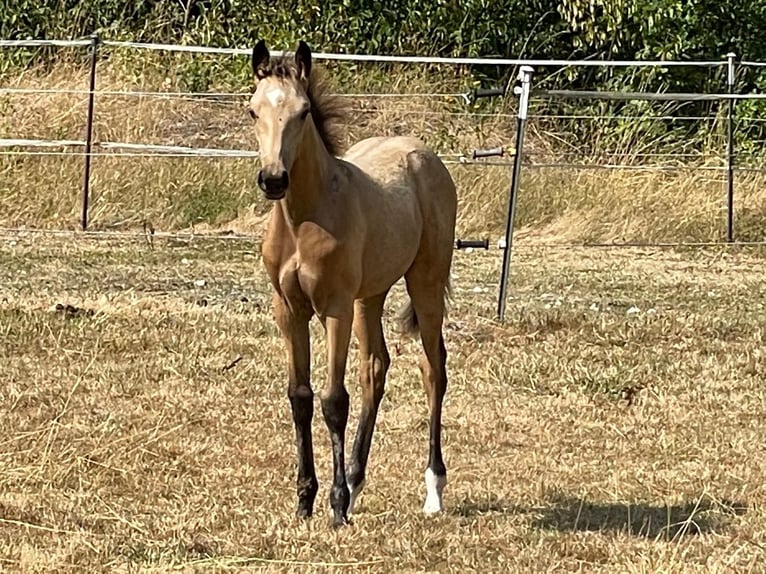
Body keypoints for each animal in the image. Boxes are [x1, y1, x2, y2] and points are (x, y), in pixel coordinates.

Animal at [248, 39, 457, 527]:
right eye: (253, 111)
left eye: (303, 111)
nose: (273, 180)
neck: (304, 220)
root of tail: (422, 152)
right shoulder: (289, 310)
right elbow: (300, 396)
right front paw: (305, 499)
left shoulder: (335, 308)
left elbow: (332, 400)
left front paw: (336, 506)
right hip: (371, 295)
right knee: (376, 368)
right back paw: (358, 481)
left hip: (425, 280)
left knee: (433, 368)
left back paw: (432, 489)